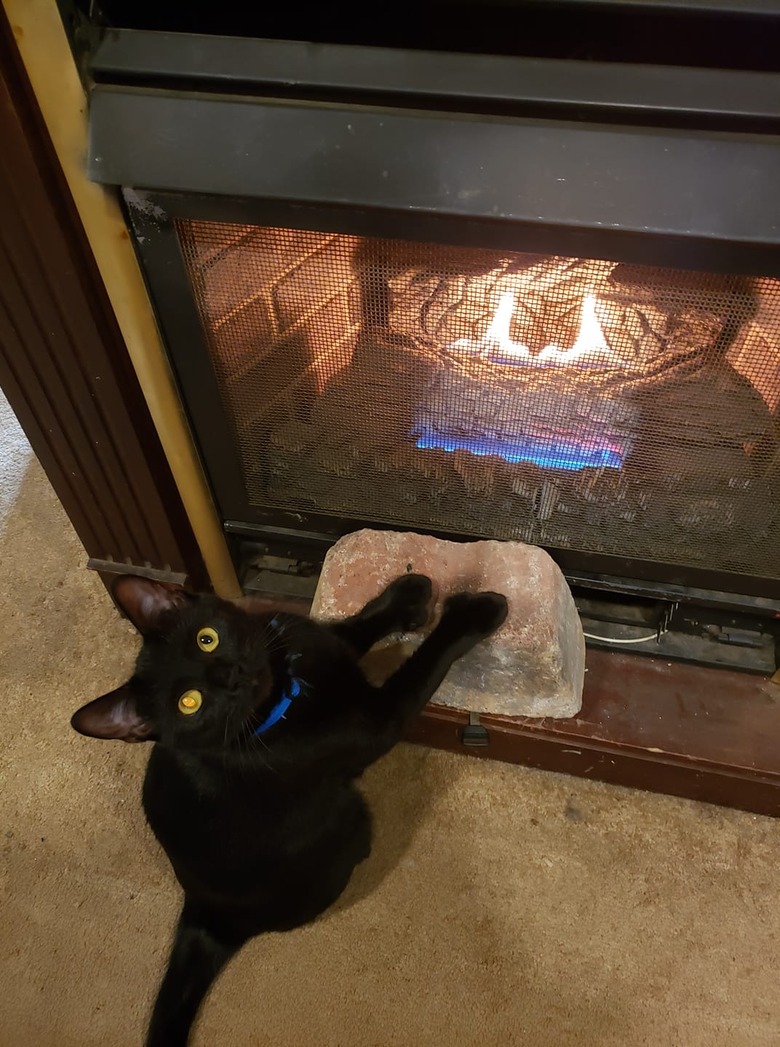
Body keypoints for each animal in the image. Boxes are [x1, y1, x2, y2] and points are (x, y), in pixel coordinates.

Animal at [70, 573, 508, 1047]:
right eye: (190, 703)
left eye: (207, 639)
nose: (231, 676)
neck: (285, 692)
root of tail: (206, 914)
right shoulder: (376, 722)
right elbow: (421, 668)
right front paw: (474, 613)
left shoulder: (314, 640)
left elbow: (353, 629)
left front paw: (408, 594)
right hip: (349, 815)